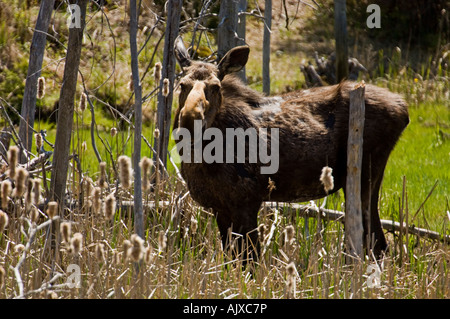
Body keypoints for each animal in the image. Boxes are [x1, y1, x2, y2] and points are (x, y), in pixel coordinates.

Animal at [171, 37, 410, 262]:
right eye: (182, 84)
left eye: (216, 87)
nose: (190, 119)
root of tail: (404, 108)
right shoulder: (219, 207)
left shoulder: (247, 201)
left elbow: (251, 260)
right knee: (375, 241)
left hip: (364, 176)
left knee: (376, 242)